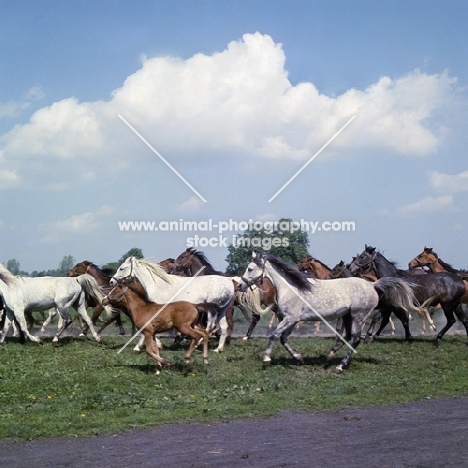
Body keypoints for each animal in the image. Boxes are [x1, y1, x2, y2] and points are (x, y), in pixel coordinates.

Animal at [239, 252, 426, 372]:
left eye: (250, 268)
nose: (240, 285)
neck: (291, 288)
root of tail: (372, 284)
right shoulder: (292, 320)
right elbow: (283, 338)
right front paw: (299, 358)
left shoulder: (290, 319)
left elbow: (274, 335)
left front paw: (266, 359)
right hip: (347, 316)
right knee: (348, 336)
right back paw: (329, 356)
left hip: (358, 315)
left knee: (356, 338)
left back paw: (340, 365)